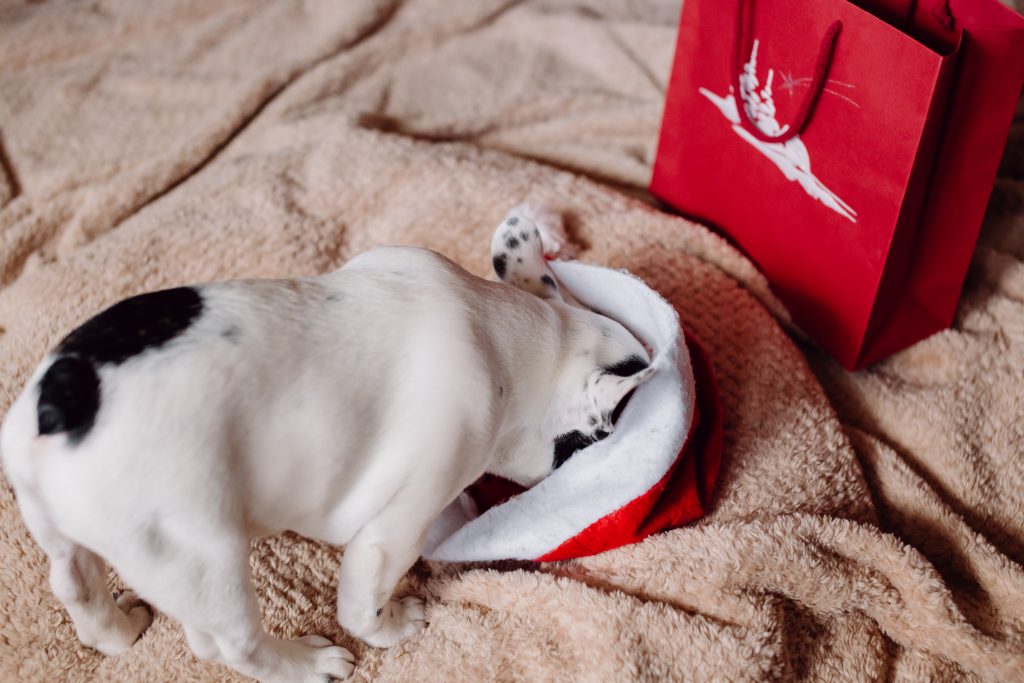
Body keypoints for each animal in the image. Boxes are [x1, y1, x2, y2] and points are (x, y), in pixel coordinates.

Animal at [0, 205, 651, 679]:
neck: (508, 340)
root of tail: (51, 418)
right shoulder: (404, 513)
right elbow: (364, 597)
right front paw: (394, 625)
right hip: (198, 553)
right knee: (229, 645)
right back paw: (307, 664)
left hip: (68, 529)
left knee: (73, 582)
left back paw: (118, 632)